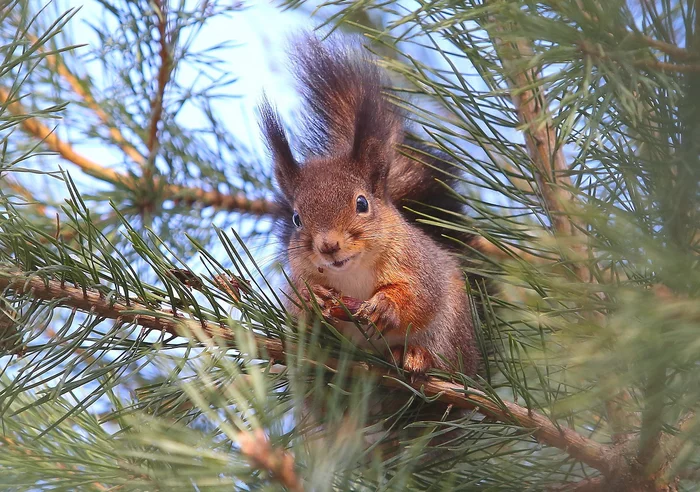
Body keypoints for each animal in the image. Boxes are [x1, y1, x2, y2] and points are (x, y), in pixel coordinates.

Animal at [262, 35, 482, 376]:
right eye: (297, 218)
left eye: (362, 203)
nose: (328, 246)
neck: (352, 273)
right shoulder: (298, 275)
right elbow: (297, 310)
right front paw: (312, 299)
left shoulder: (419, 266)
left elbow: (419, 297)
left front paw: (387, 305)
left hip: (452, 328)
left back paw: (416, 356)